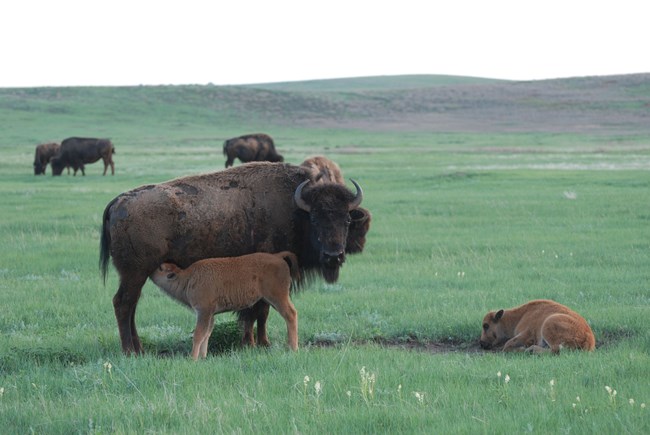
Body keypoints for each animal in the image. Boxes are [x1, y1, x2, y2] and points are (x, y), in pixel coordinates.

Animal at [149, 250, 298, 360]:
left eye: (161, 268)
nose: (151, 271)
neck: (188, 278)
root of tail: (277, 257)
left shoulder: (203, 311)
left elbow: (198, 334)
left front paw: (193, 358)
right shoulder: (211, 315)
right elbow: (206, 334)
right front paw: (203, 357)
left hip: (278, 297)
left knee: (290, 314)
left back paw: (293, 348)